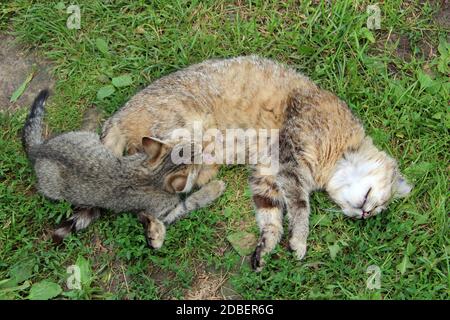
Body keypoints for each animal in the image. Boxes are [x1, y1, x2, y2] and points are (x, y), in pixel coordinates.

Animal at [101, 55, 412, 270]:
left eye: (377, 210)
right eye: (374, 198)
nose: (366, 214)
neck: (338, 148)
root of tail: (117, 116)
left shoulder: (268, 175)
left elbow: (271, 216)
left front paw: (267, 246)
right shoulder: (290, 157)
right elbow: (300, 207)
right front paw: (300, 240)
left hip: (200, 171)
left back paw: (160, 225)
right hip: (180, 140)